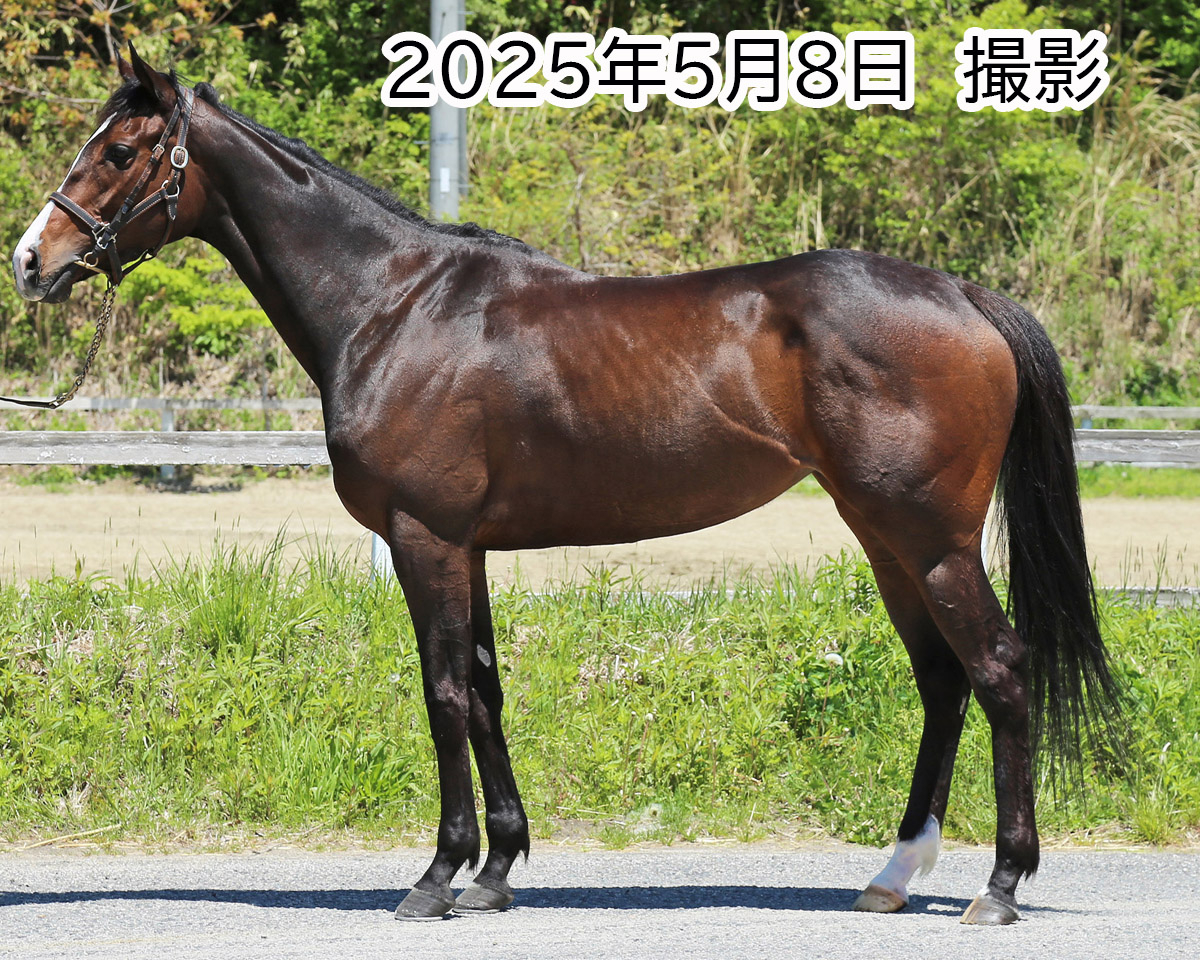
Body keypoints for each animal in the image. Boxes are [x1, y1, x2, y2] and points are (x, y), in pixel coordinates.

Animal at [11, 46, 1119, 925]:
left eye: (120, 153)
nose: (31, 260)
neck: (395, 306)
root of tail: (965, 294)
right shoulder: (467, 546)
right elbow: (487, 692)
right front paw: (497, 870)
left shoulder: (424, 538)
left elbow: (443, 694)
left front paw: (437, 876)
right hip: (886, 537)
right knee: (943, 682)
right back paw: (893, 876)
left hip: (931, 540)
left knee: (1000, 672)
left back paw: (999, 888)